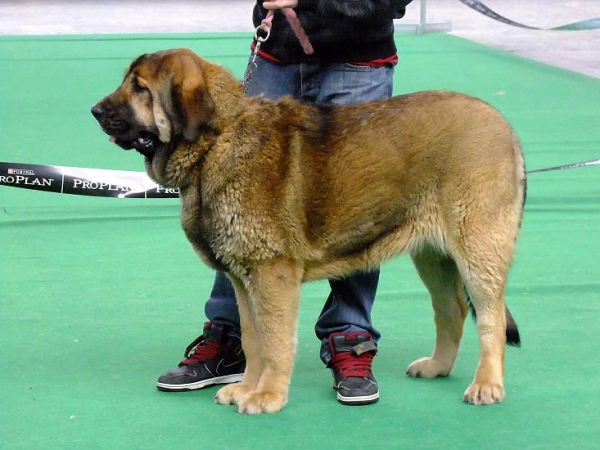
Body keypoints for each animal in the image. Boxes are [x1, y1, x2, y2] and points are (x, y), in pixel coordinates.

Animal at [92, 47, 524, 414]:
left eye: (140, 88)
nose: (95, 110)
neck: (216, 141)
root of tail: (506, 128)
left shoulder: (272, 274)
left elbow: (275, 341)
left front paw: (267, 395)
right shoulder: (243, 279)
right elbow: (252, 339)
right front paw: (246, 388)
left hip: (477, 250)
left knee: (489, 318)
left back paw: (487, 385)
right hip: (433, 256)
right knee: (452, 310)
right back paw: (437, 366)